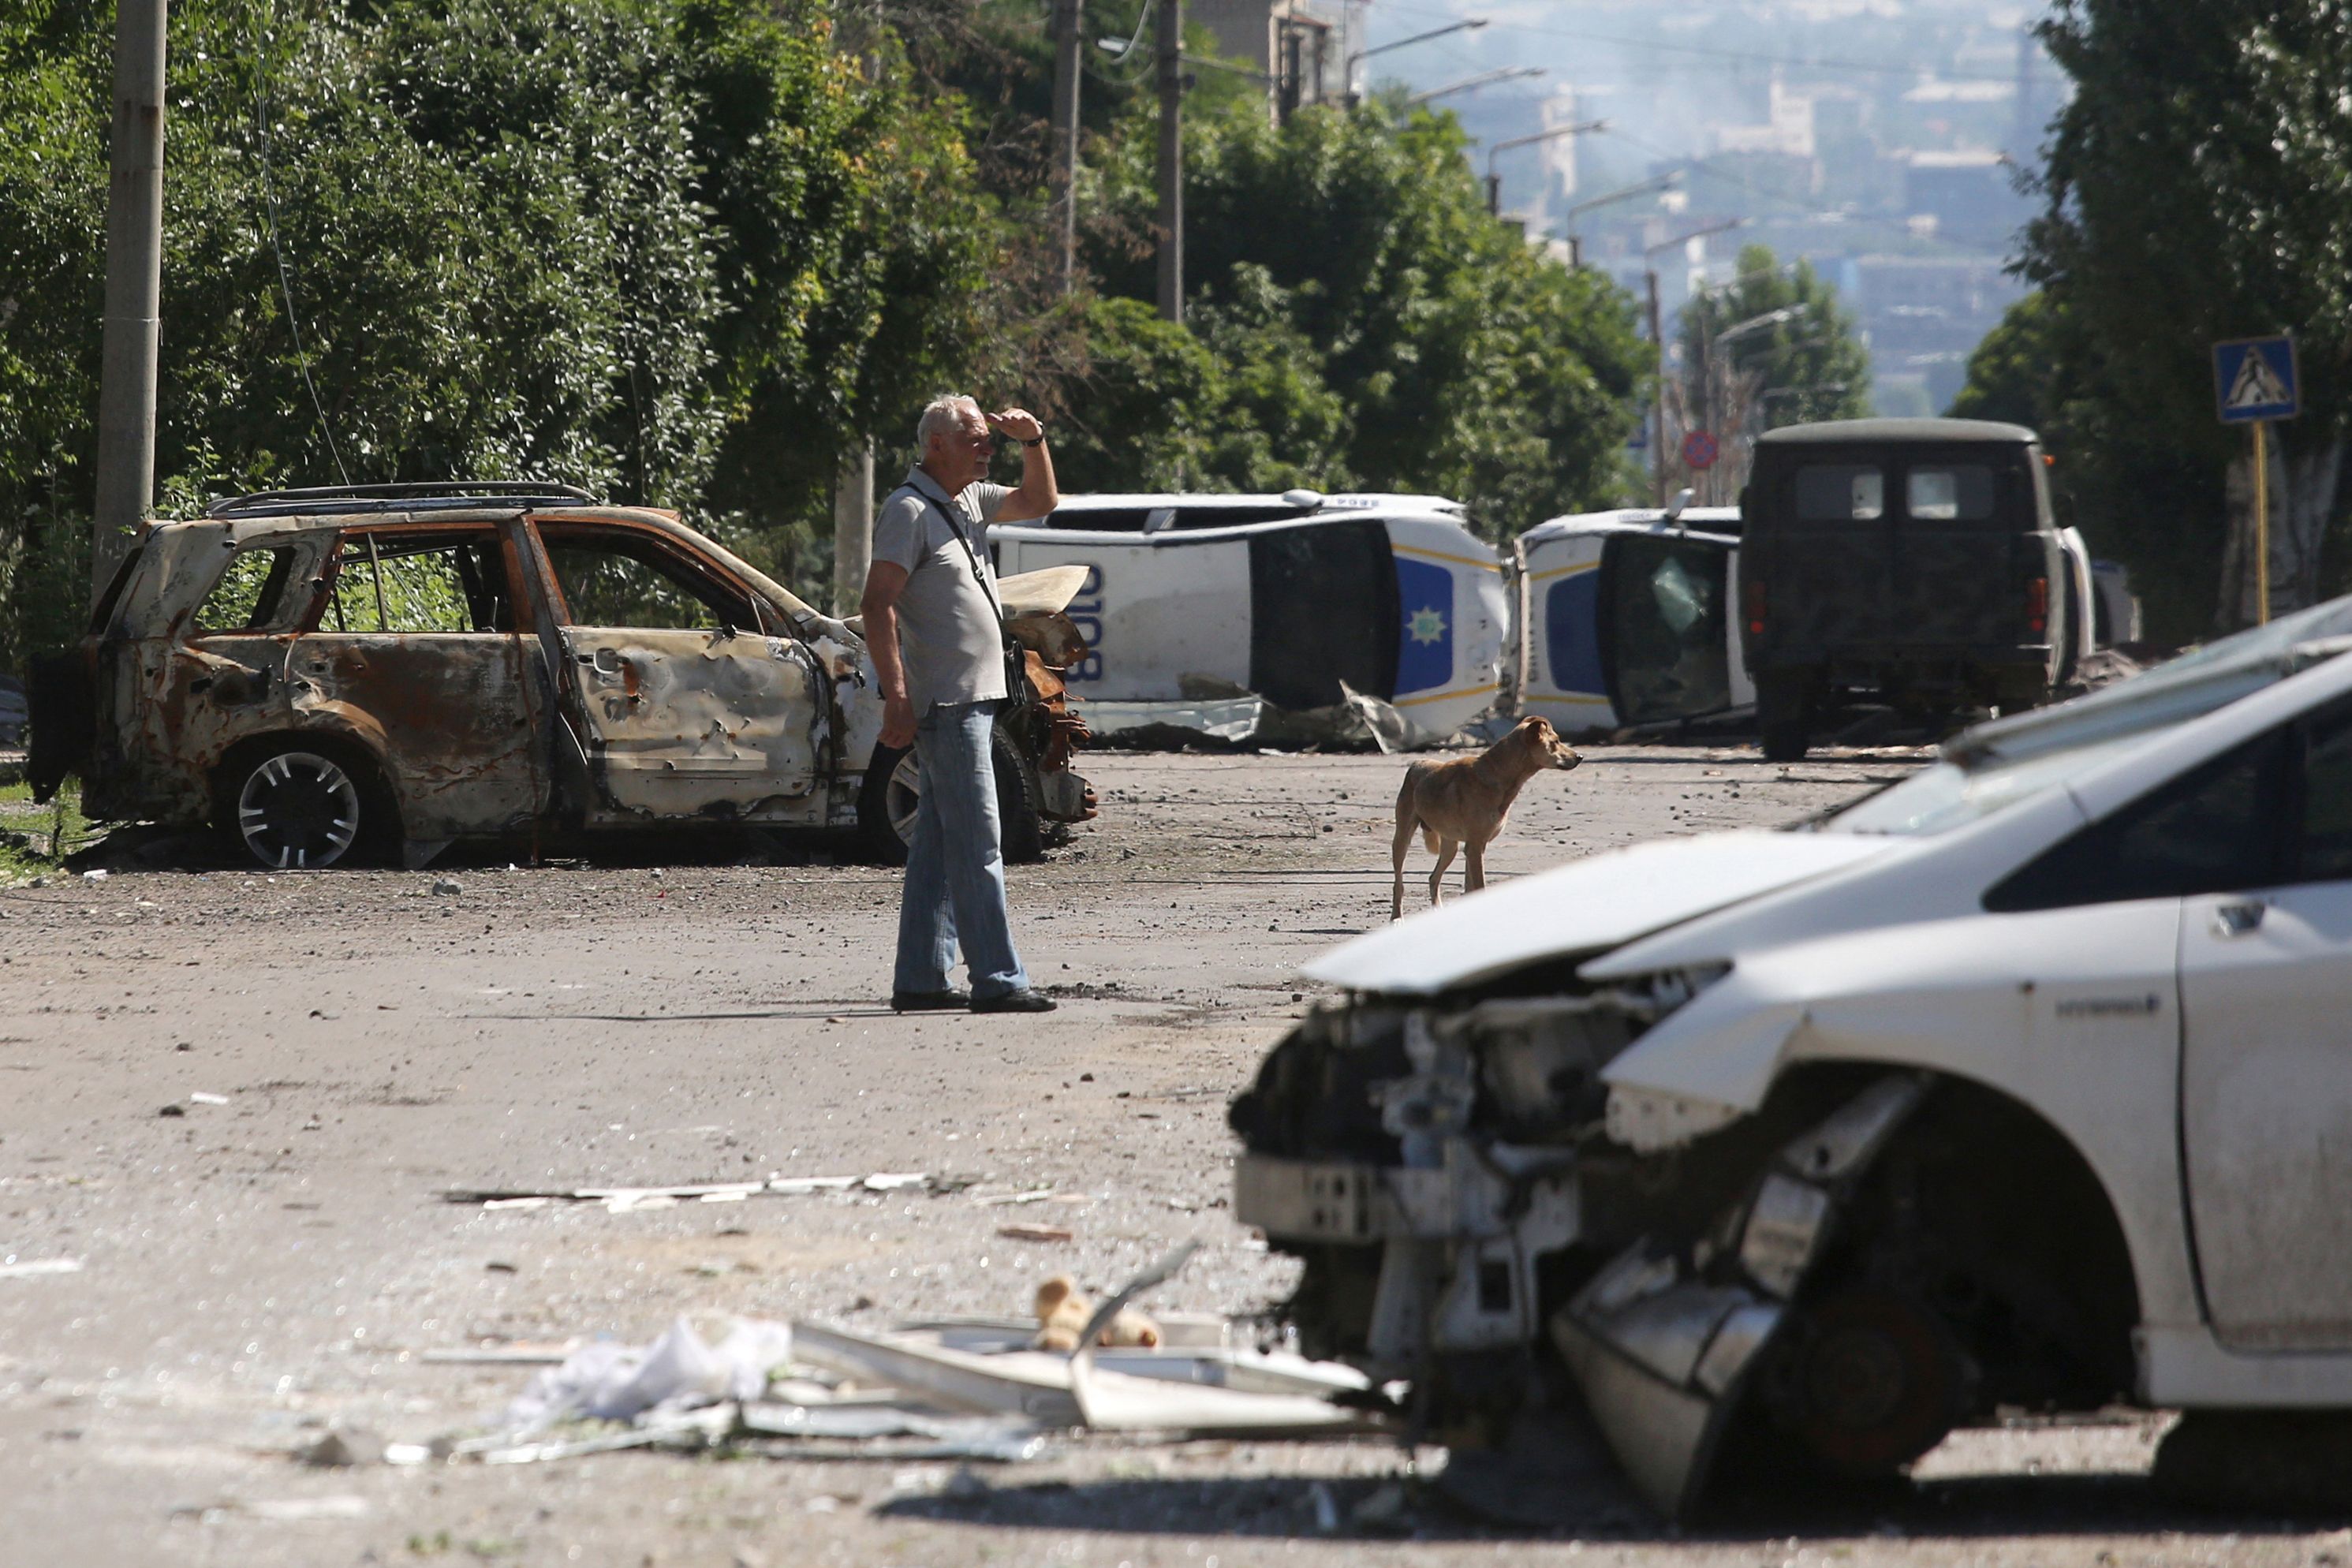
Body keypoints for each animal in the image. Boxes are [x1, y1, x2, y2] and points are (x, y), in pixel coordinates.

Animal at [1392, 715, 1580, 921]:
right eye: (1555, 742)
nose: (1580, 757)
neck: (1499, 775)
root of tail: (1417, 762)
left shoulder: (1475, 847)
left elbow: (1470, 889)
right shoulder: (1474, 847)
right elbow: (1479, 887)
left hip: (1450, 847)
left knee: (1433, 878)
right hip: (1402, 839)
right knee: (1399, 883)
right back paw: (1396, 917)